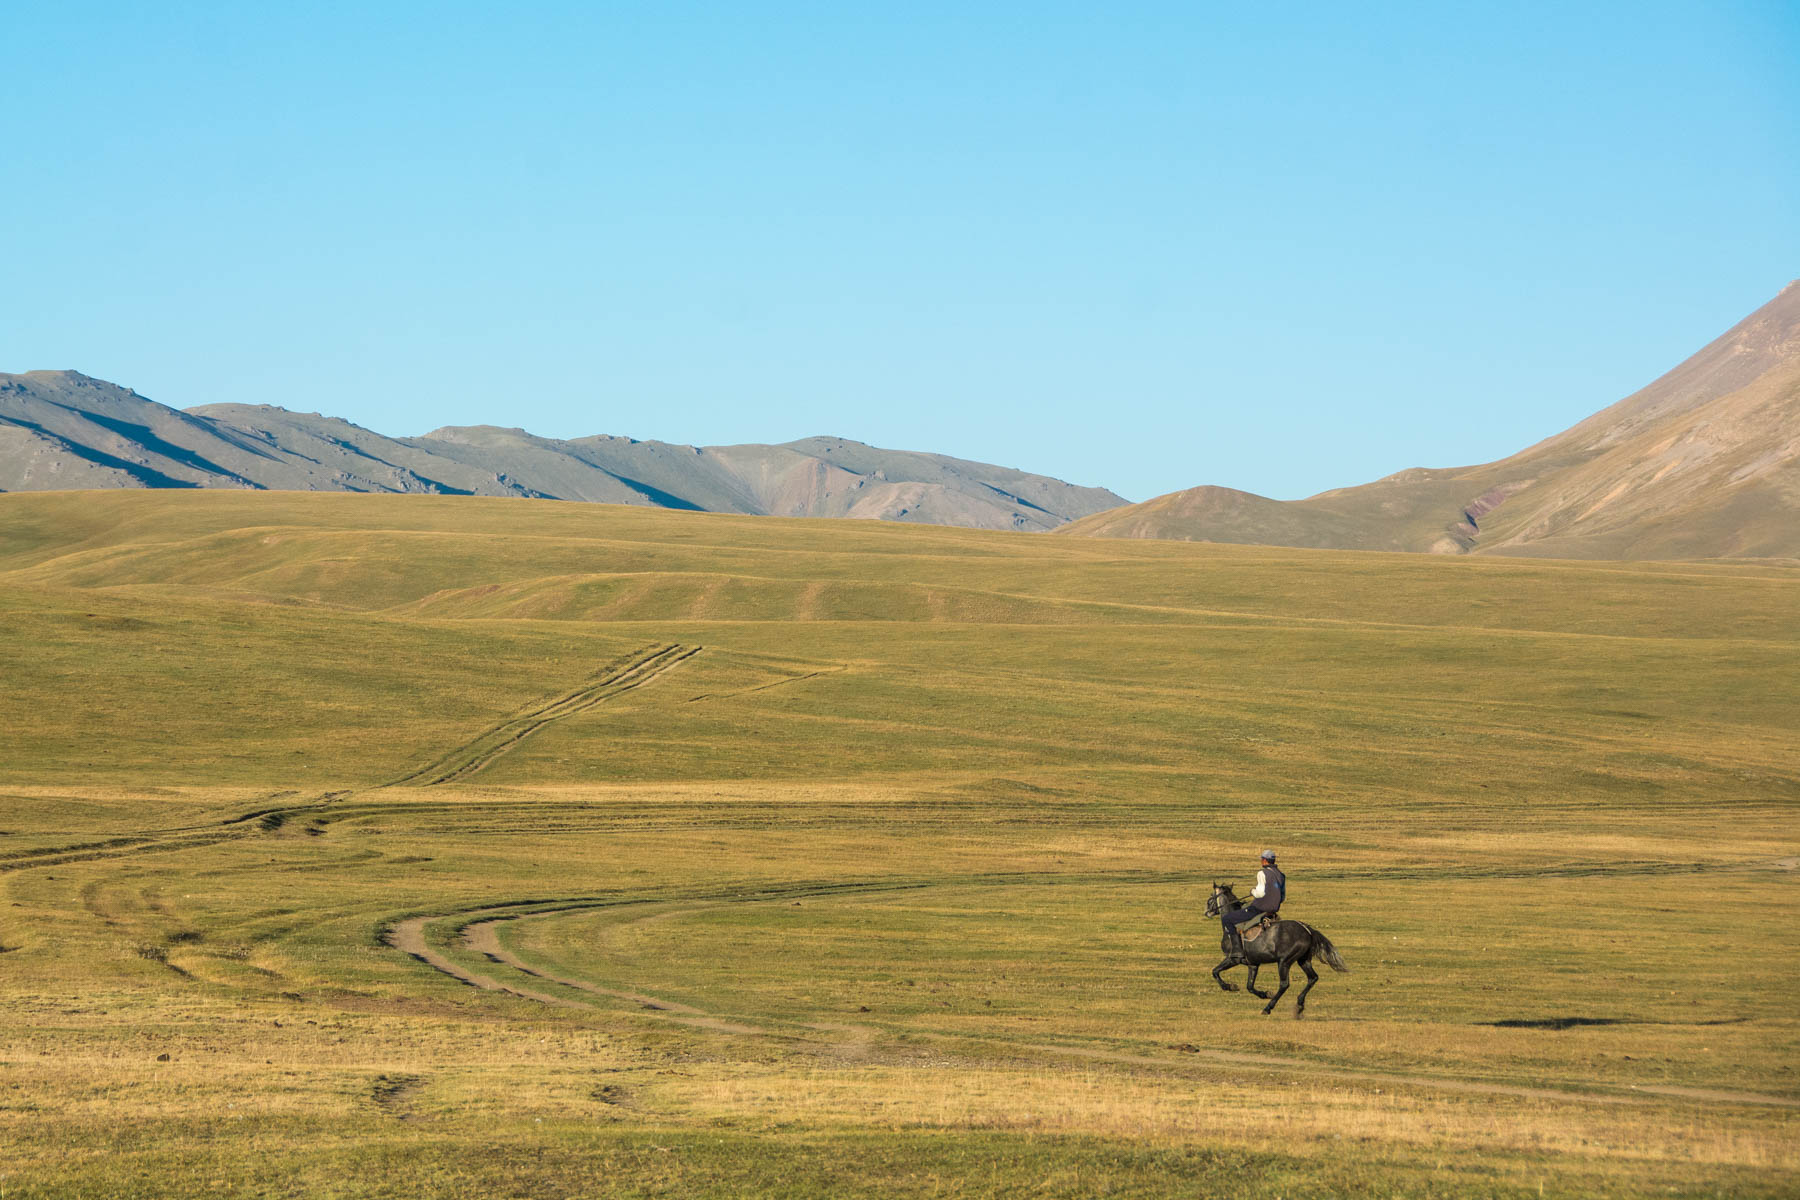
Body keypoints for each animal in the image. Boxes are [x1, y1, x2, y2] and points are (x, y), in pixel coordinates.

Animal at [1202, 877, 1346, 1021]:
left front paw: (1229, 986)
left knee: (1284, 984)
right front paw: (1265, 994)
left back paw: (1268, 1008)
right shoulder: (1253, 964)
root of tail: (1307, 929)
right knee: (1313, 978)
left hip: (1284, 962)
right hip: (1303, 960)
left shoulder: (1232, 959)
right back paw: (1299, 1006)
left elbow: (1215, 971)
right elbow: (1250, 986)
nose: (1207, 912)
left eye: (1210, 898)